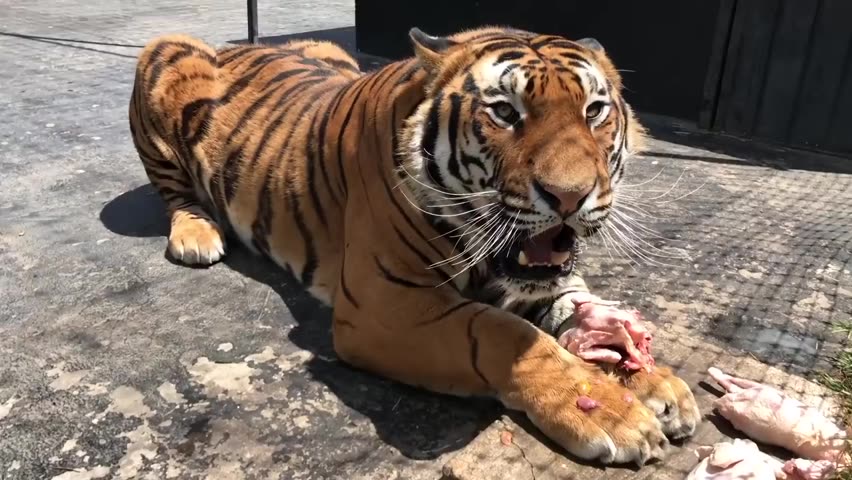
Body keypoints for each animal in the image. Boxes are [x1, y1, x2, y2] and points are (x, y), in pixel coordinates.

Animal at [129, 26, 700, 465]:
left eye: (595, 110)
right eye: (504, 112)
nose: (570, 195)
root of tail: (236, 45)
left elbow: (574, 309)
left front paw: (656, 383)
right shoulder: (385, 305)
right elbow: (505, 334)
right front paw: (612, 413)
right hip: (163, 53)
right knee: (174, 191)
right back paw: (197, 234)